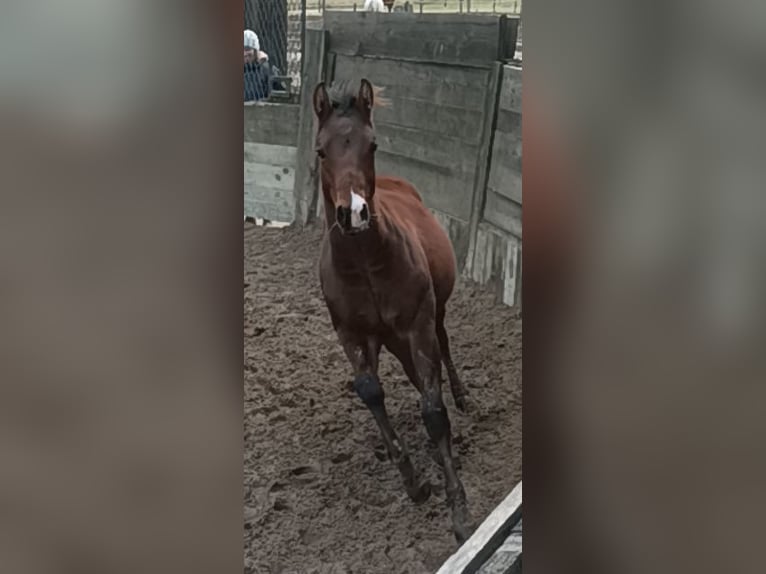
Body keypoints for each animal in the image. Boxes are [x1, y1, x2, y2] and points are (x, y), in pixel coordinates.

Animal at [314, 79, 474, 544]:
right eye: (321, 151)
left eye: (372, 144)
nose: (353, 213)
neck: (366, 264)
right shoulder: (350, 333)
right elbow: (371, 391)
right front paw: (413, 481)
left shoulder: (418, 324)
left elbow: (434, 412)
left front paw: (458, 510)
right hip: (394, 341)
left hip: (430, 320)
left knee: (443, 349)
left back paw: (460, 396)